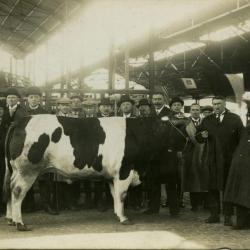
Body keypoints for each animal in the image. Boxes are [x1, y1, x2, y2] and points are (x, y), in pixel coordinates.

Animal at [2, 114, 188, 229]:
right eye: (183, 128)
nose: (189, 143)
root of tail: (19, 121)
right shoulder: (124, 170)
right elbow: (122, 195)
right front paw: (124, 219)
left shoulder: (112, 175)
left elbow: (115, 195)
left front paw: (117, 214)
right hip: (27, 170)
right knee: (17, 191)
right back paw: (20, 224)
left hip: (14, 170)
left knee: (9, 188)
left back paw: (10, 220)